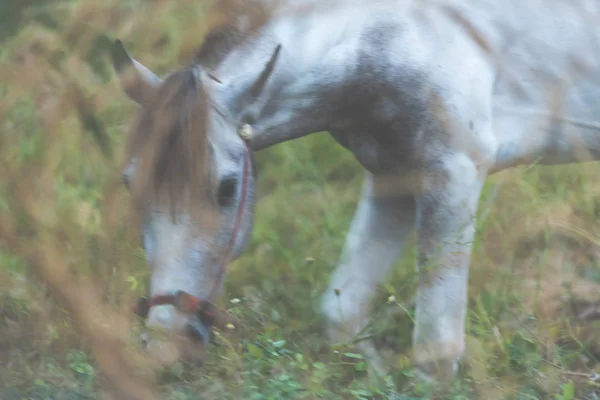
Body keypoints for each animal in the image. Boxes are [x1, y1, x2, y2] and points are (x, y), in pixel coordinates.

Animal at [111, 0, 600, 382]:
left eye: (228, 187)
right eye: (130, 182)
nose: (166, 342)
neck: (386, 36)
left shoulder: (454, 176)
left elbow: (436, 349)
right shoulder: (393, 176)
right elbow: (341, 312)